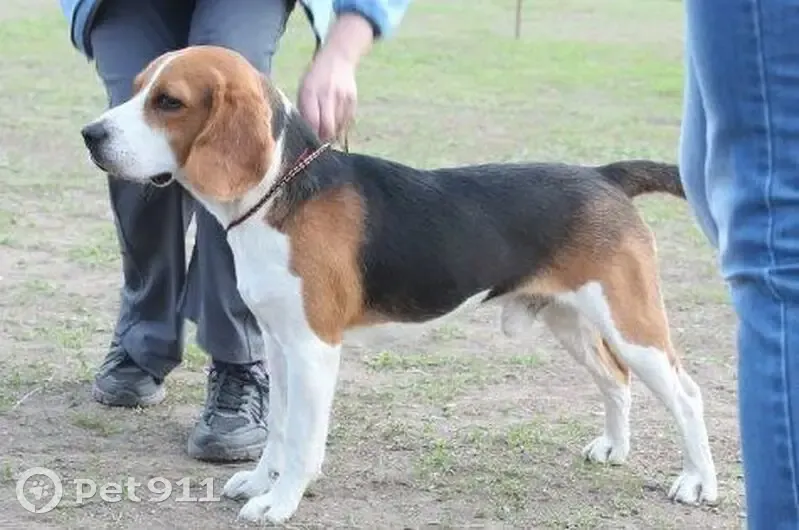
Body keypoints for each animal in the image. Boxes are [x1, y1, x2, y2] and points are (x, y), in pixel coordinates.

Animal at [79, 45, 718, 524]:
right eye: (135, 88)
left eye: (169, 102)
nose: (90, 134)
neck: (277, 192)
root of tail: (603, 175)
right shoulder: (279, 345)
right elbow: (279, 431)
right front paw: (260, 482)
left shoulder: (314, 349)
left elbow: (303, 440)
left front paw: (280, 503)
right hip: (570, 319)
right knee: (615, 379)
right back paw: (615, 449)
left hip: (631, 321)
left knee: (687, 394)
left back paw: (696, 482)